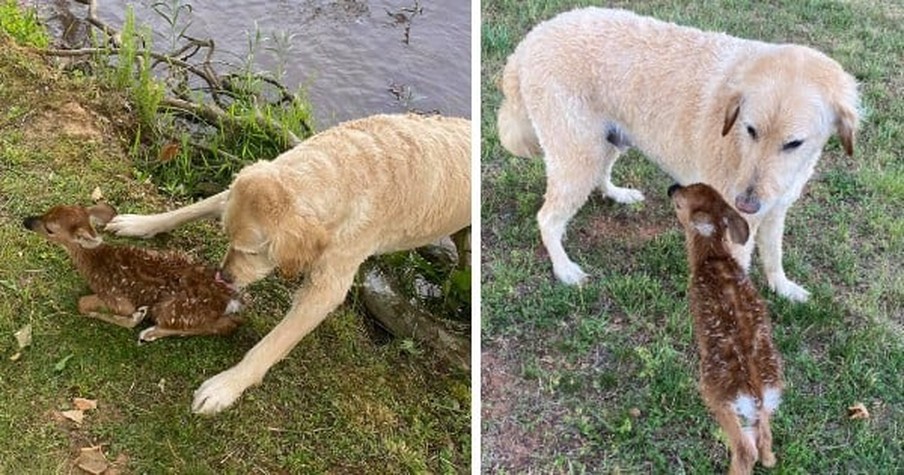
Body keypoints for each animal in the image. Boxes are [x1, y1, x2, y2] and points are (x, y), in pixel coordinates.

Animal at [106, 113, 470, 414]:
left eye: (253, 252)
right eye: (227, 236)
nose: (223, 277)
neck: (345, 169)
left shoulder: (326, 287)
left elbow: (272, 344)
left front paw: (226, 387)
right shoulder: (235, 191)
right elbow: (192, 208)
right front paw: (140, 223)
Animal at [498, 6, 860, 302]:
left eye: (794, 143)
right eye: (751, 130)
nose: (746, 203)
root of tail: (531, 39)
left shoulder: (775, 210)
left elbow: (774, 255)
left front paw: (782, 287)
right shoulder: (736, 229)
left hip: (608, 141)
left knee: (599, 176)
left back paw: (617, 193)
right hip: (579, 153)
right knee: (548, 219)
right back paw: (564, 269)